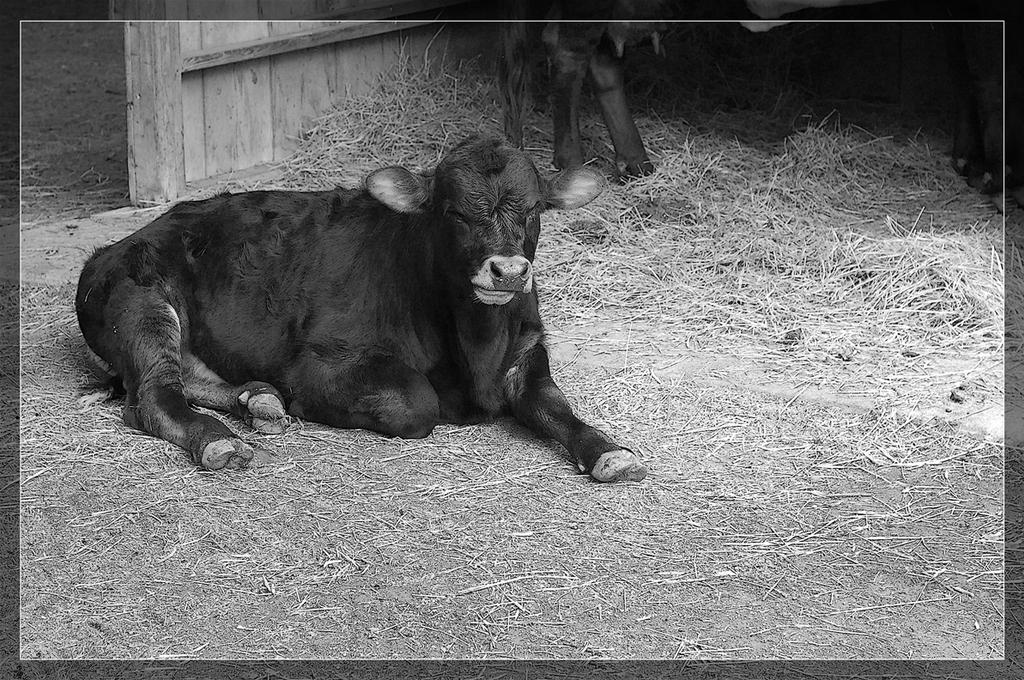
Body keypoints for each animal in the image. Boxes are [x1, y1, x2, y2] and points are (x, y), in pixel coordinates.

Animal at [75, 135, 649, 483]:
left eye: (532, 211)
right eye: (454, 213)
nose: (507, 271)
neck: (478, 348)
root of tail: (116, 245)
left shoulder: (528, 353)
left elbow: (557, 407)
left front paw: (609, 450)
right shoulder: (319, 362)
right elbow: (416, 403)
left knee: (188, 379)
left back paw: (257, 400)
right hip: (145, 306)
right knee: (152, 397)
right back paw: (220, 439)